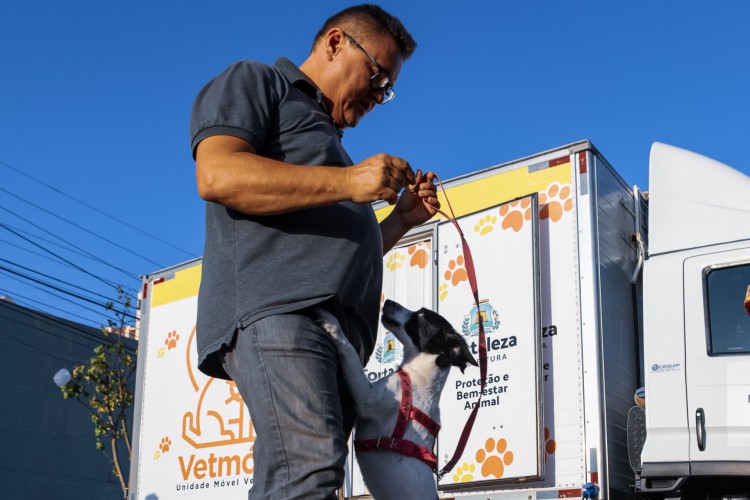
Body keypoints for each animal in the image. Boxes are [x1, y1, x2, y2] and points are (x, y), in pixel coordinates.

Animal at [318, 298, 476, 498]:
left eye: (422, 314)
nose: (387, 301)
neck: (417, 376)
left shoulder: (366, 396)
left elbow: (350, 352)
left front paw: (334, 326)